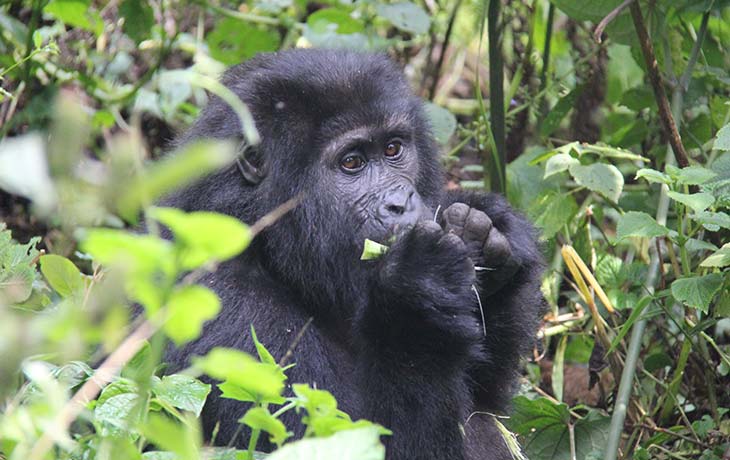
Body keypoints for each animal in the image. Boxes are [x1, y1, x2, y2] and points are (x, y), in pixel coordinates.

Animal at [162, 49, 544, 460]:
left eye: (393, 149)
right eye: (352, 163)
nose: (401, 203)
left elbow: (488, 408)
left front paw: (486, 229)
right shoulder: (221, 305)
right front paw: (417, 303)